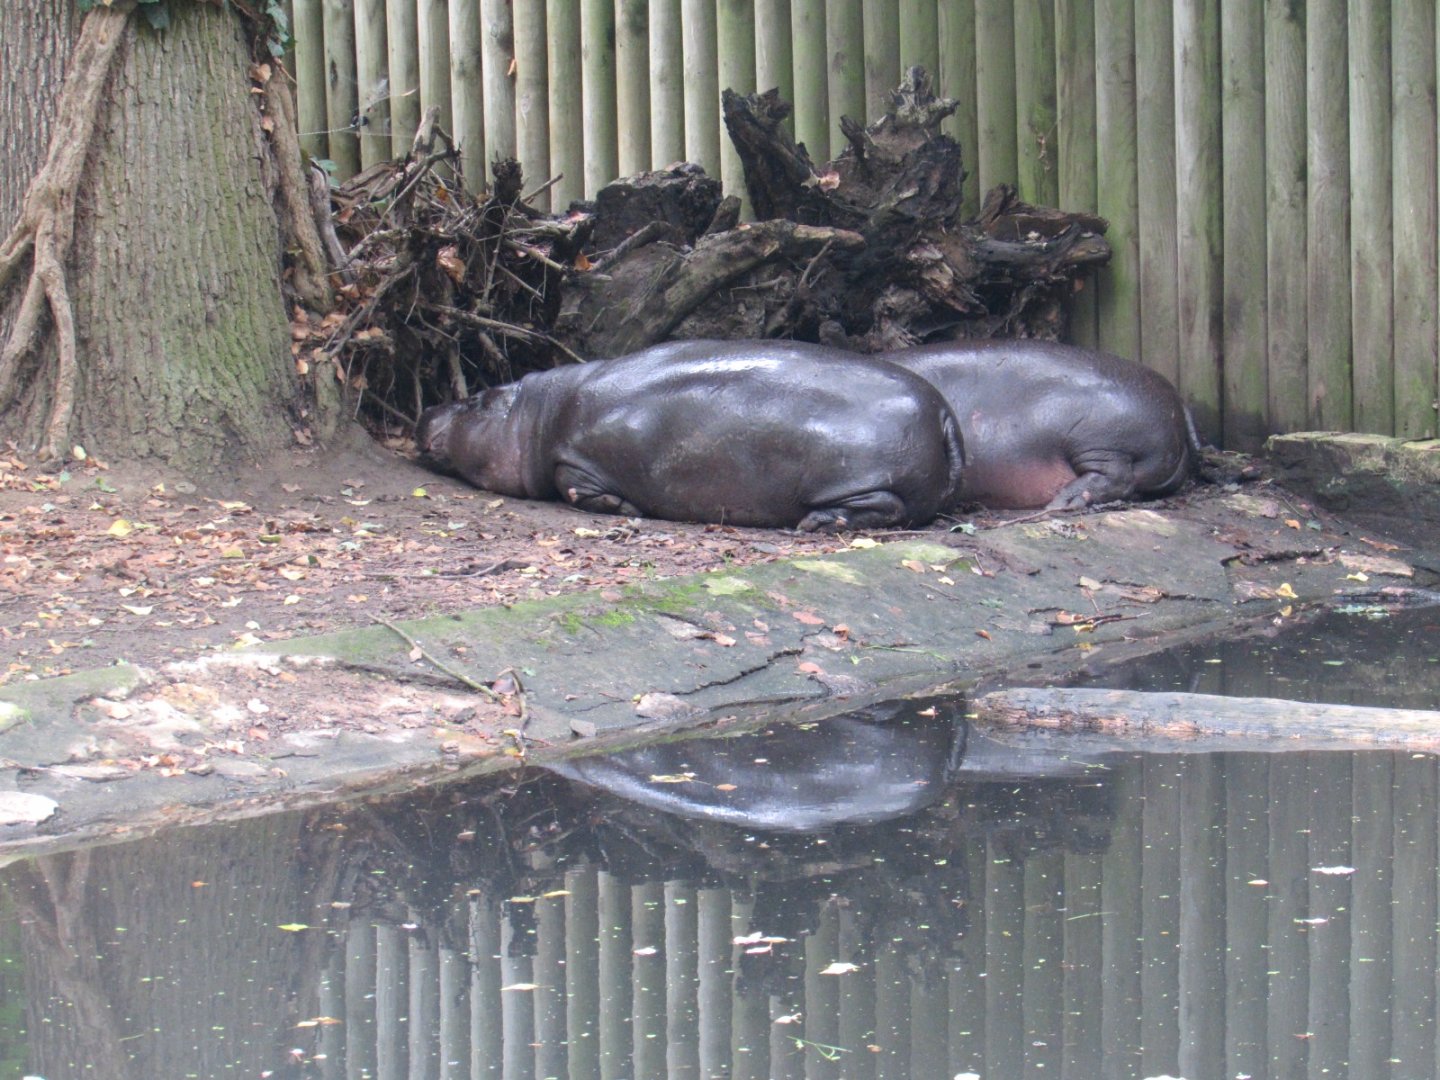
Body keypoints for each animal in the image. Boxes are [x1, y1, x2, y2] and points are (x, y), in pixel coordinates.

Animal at [416, 339, 964, 530]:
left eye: (477, 399)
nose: (427, 409)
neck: (537, 412)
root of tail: (941, 411)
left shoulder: (578, 460)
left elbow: (573, 486)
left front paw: (622, 508)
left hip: (864, 480)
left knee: (885, 507)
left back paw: (816, 523)